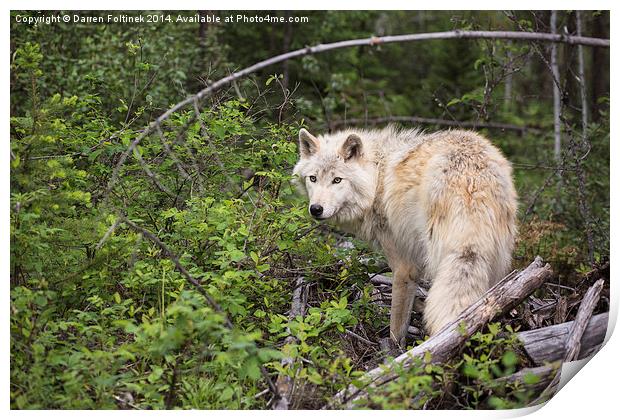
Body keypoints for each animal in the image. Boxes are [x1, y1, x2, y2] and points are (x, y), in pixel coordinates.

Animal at [294, 125, 516, 348]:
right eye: (313, 178)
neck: (377, 178)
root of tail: (472, 177)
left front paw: (394, 351)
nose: (316, 209)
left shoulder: (404, 267)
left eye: (337, 180)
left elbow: (397, 323)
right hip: (494, 262)